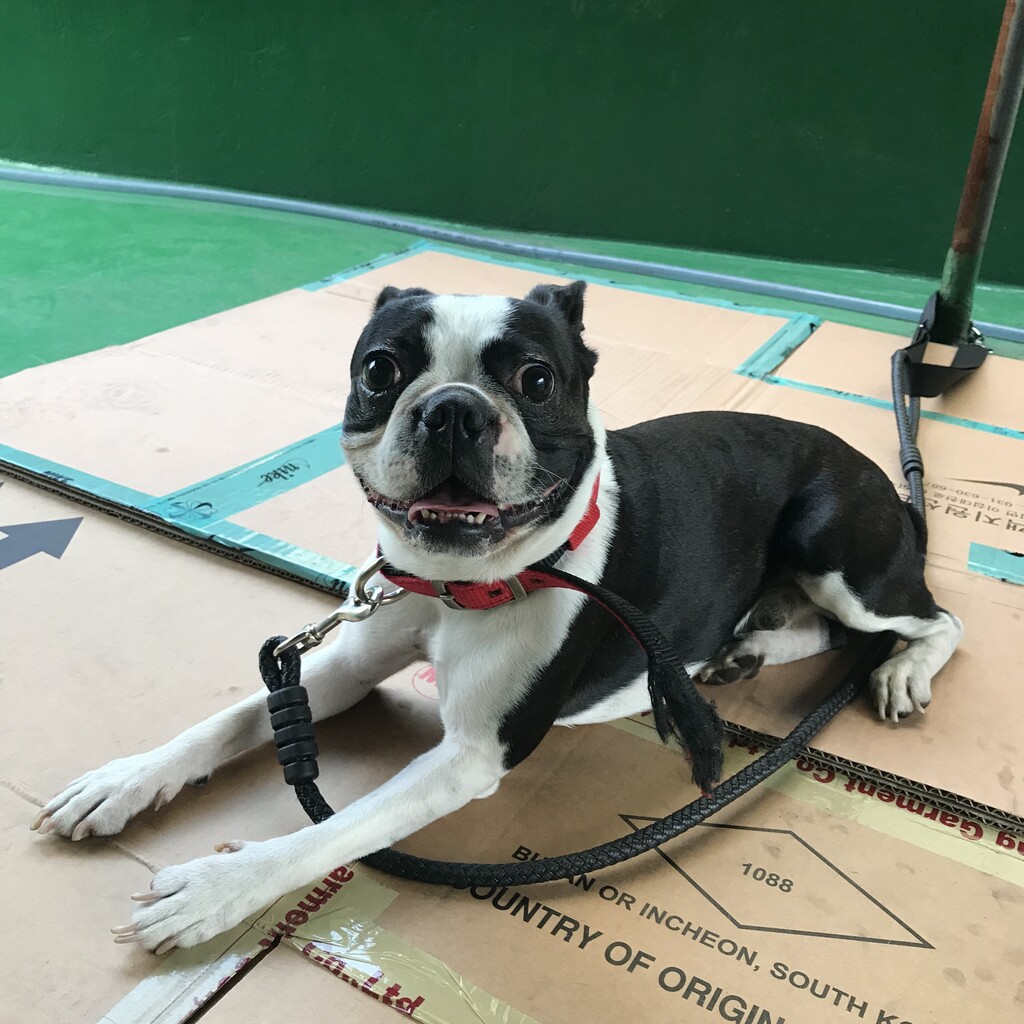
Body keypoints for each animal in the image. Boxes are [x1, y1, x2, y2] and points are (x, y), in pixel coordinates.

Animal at [31, 280, 963, 953]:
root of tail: (887, 481)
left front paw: (218, 888)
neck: (456, 585)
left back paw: (899, 671)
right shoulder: (341, 668)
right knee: (828, 627)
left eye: (535, 381)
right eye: (380, 370)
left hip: (832, 544)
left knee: (931, 622)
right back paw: (743, 649)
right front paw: (124, 780)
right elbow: (226, 722)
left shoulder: (470, 755)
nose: (453, 408)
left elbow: (332, 831)